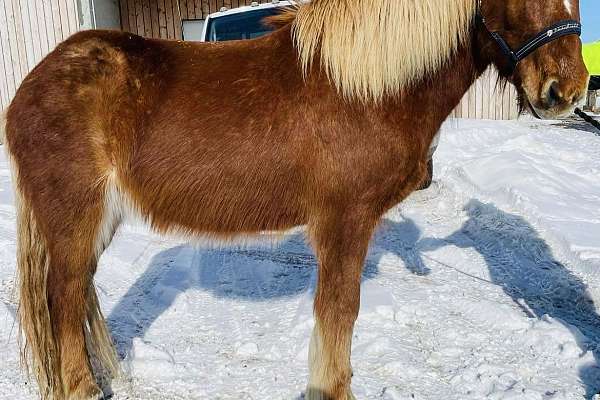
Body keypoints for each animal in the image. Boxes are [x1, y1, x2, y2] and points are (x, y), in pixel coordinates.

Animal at [1, 0, 592, 398]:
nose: (567, 89)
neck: (366, 88)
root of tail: (33, 82)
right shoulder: (346, 221)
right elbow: (340, 311)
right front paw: (331, 388)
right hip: (75, 214)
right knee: (63, 296)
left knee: (79, 293)